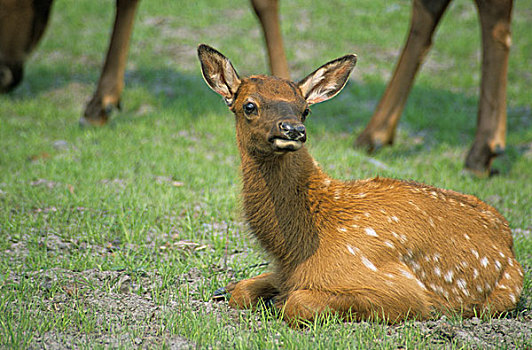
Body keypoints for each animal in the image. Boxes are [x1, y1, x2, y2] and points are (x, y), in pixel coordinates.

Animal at [196, 44, 524, 326]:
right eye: (249, 105)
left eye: (305, 109)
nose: (293, 130)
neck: (295, 250)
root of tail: (509, 242)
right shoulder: (282, 272)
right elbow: (240, 291)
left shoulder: (398, 288)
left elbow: (297, 303)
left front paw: (277, 301)